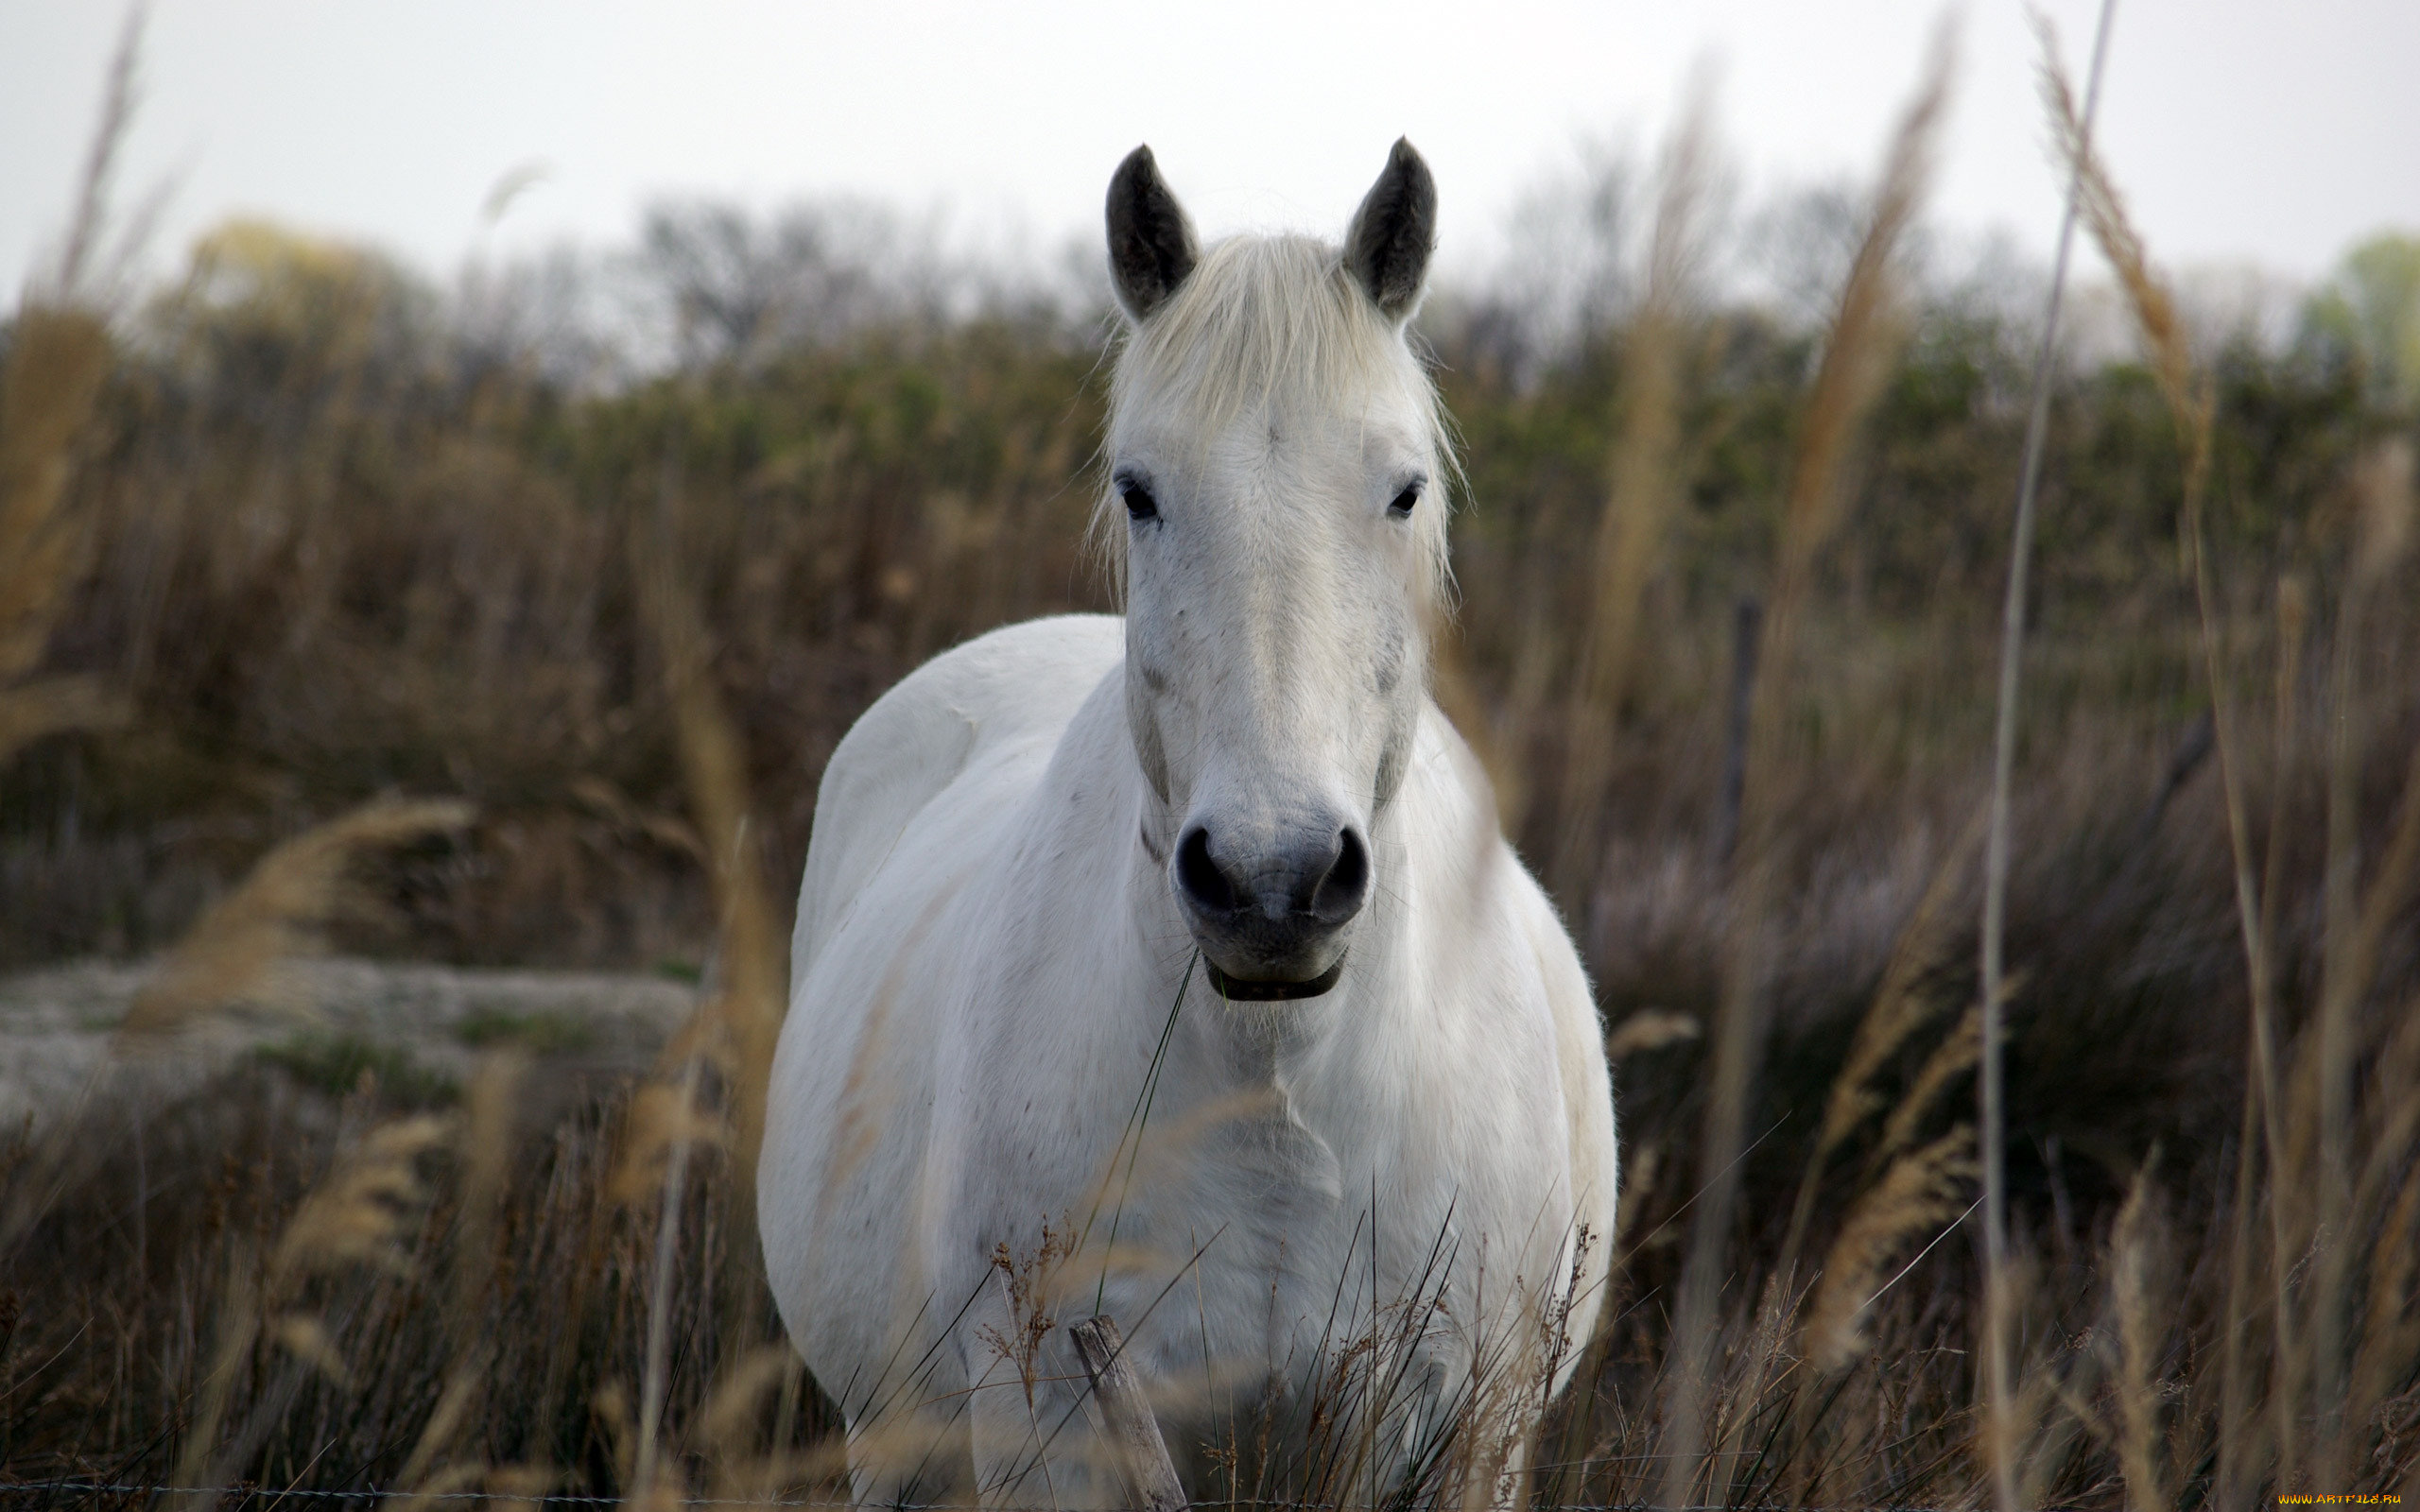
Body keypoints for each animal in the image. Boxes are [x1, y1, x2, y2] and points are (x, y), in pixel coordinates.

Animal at [764, 138, 1616, 1500]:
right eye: (1139, 489)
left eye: (1403, 490)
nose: (1274, 882)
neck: (1274, 1087)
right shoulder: (1054, 1424)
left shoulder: (1467, 1430)